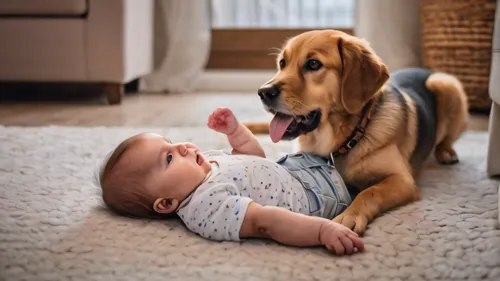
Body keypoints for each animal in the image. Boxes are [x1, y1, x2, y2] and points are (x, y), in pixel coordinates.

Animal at [244, 29, 470, 234]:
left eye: (314, 64)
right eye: (282, 63)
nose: (263, 92)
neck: (347, 138)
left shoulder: (402, 180)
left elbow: (370, 192)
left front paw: (349, 216)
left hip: (446, 85)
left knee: (446, 139)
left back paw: (446, 152)